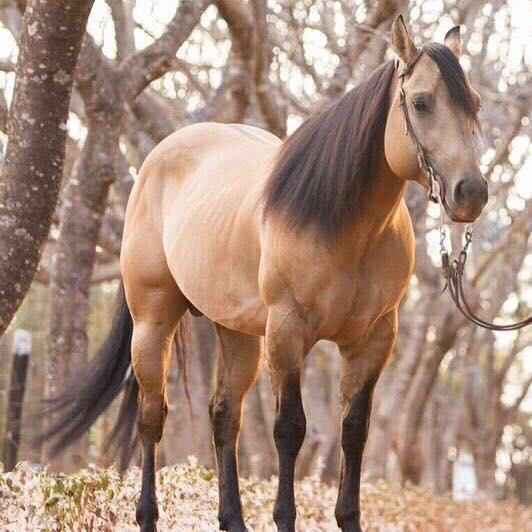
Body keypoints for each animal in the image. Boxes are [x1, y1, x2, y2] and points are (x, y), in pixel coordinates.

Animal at [45, 14, 486, 532]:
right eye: (421, 102)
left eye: (474, 103)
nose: (471, 192)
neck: (347, 224)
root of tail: (156, 161)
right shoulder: (287, 331)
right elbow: (290, 428)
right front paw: (284, 515)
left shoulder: (374, 339)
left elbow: (354, 430)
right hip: (153, 322)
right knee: (152, 417)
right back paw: (148, 514)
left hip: (236, 333)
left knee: (224, 416)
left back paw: (231, 518)